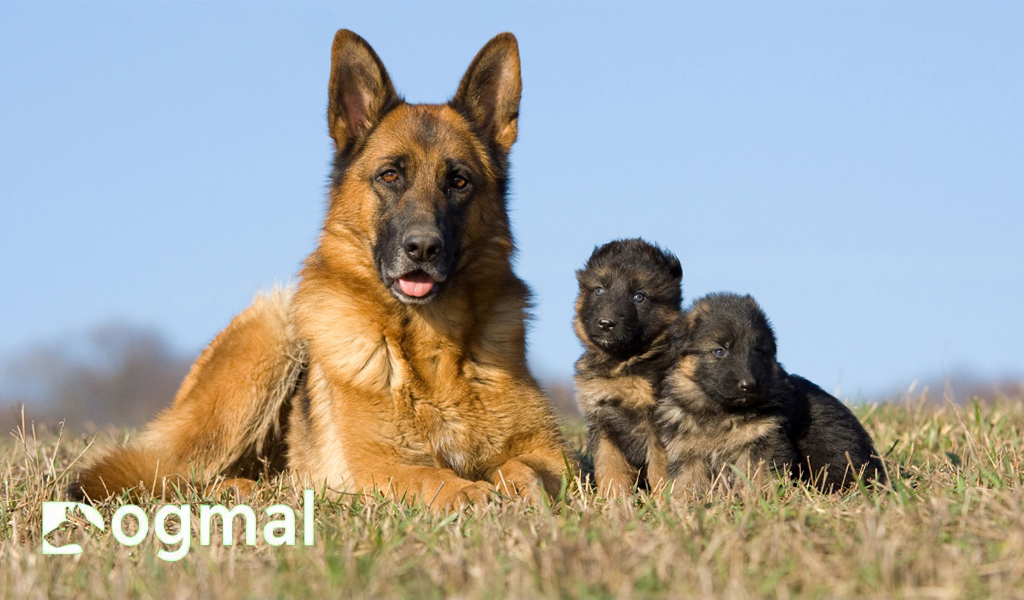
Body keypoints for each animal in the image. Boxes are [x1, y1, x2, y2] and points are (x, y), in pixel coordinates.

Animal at [68, 30, 573, 509]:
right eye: (390, 175)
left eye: (459, 181)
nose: (422, 248)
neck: (431, 347)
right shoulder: (375, 465)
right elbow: (430, 477)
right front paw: (468, 493)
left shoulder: (553, 456)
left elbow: (526, 468)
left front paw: (520, 490)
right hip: (269, 336)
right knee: (177, 477)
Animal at [573, 235, 684, 493]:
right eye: (599, 290)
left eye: (639, 296)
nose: (606, 323)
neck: (622, 363)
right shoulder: (603, 423)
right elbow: (609, 467)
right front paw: (613, 498)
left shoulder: (659, 423)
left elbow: (659, 469)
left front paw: (663, 499)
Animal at [655, 292, 888, 493]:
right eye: (720, 351)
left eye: (758, 351)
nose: (748, 385)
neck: (722, 412)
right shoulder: (687, 453)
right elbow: (686, 485)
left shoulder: (763, 443)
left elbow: (756, 478)